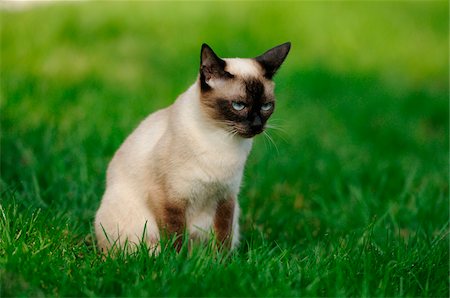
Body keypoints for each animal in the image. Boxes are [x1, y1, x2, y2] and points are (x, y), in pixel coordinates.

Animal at [95, 42, 292, 254]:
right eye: (238, 105)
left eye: (266, 106)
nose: (257, 125)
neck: (220, 138)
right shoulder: (170, 200)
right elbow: (175, 238)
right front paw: (177, 260)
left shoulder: (226, 197)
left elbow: (223, 238)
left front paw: (221, 261)